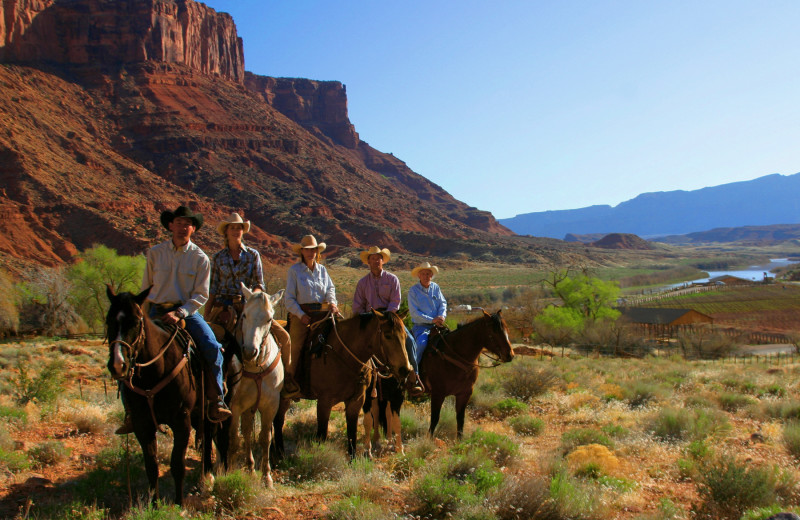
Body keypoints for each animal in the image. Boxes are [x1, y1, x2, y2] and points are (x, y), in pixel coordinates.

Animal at [105, 286, 212, 506]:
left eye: (136, 322)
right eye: (108, 321)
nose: (118, 364)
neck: (155, 371)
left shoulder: (181, 421)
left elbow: (177, 464)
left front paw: (179, 503)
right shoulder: (141, 423)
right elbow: (151, 466)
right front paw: (153, 503)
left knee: (208, 437)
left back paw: (206, 475)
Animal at [225, 282, 284, 486]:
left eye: (269, 319)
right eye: (244, 315)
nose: (250, 351)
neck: (256, 367)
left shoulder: (271, 405)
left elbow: (265, 438)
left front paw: (266, 477)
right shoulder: (234, 406)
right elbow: (233, 439)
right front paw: (228, 473)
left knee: (248, 431)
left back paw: (251, 468)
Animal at [274, 310, 412, 458]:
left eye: (405, 336)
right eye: (387, 335)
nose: (405, 369)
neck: (343, 354)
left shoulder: (356, 401)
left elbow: (352, 435)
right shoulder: (324, 402)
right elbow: (322, 435)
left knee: (278, 420)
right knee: (277, 421)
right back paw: (279, 454)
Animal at [422, 308, 516, 438]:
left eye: (507, 329)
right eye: (494, 332)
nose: (510, 355)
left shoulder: (464, 393)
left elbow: (460, 421)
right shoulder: (437, 393)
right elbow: (434, 420)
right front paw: (428, 441)